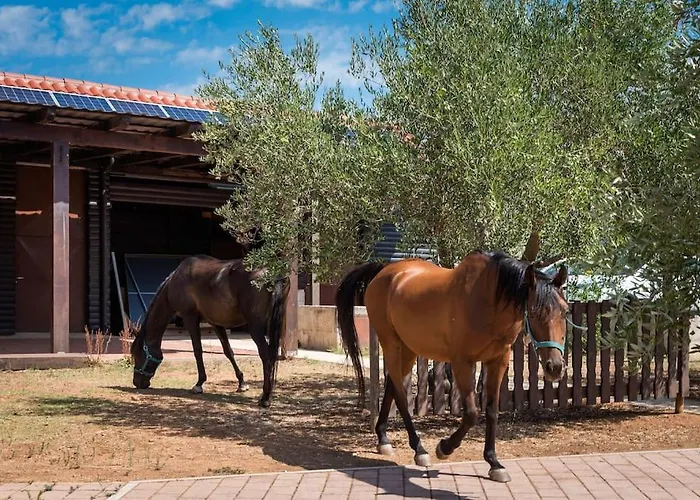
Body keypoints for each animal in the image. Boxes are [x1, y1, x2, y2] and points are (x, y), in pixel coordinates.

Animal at [130, 254, 290, 408]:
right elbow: (228, 351)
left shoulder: (190, 317)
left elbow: (197, 350)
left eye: (137, 354)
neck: (176, 280)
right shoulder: (215, 322)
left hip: (255, 327)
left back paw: (265, 398)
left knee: (265, 354)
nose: (137, 382)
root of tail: (273, 273)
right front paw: (242, 383)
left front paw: (199, 384)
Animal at [336, 250, 567, 482]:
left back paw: (383, 438)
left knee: (393, 386)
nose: (554, 367)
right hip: (391, 344)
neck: (487, 300)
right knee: (400, 396)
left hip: (409, 348)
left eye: (564, 311)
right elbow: (472, 413)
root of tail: (385, 271)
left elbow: (492, 410)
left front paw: (494, 463)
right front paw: (445, 448)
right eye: (534, 311)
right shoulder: (462, 362)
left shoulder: (498, 360)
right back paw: (419, 449)